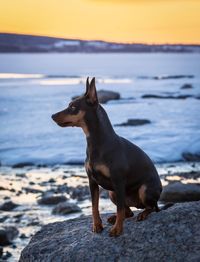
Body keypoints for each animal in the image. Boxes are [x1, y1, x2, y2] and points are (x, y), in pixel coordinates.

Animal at [52, 78, 162, 237]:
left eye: (72, 107)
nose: (52, 116)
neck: (97, 141)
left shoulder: (118, 180)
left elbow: (119, 208)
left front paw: (117, 230)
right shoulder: (92, 181)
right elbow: (94, 206)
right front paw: (97, 226)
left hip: (143, 189)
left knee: (151, 207)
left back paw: (142, 214)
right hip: (112, 193)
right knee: (128, 211)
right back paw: (115, 218)